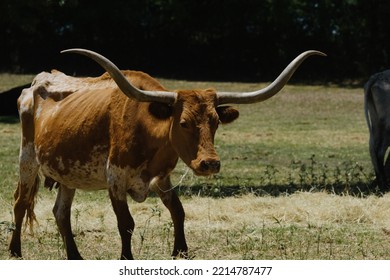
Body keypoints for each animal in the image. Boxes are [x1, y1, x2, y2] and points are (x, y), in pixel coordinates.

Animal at [9, 48, 324, 260]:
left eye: (215, 122)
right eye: (182, 123)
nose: (210, 163)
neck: (147, 127)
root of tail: (37, 82)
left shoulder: (162, 177)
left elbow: (178, 211)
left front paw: (180, 252)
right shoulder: (115, 178)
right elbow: (126, 223)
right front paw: (127, 258)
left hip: (67, 173)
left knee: (61, 213)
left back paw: (75, 257)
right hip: (27, 159)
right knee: (20, 203)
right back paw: (15, 251)